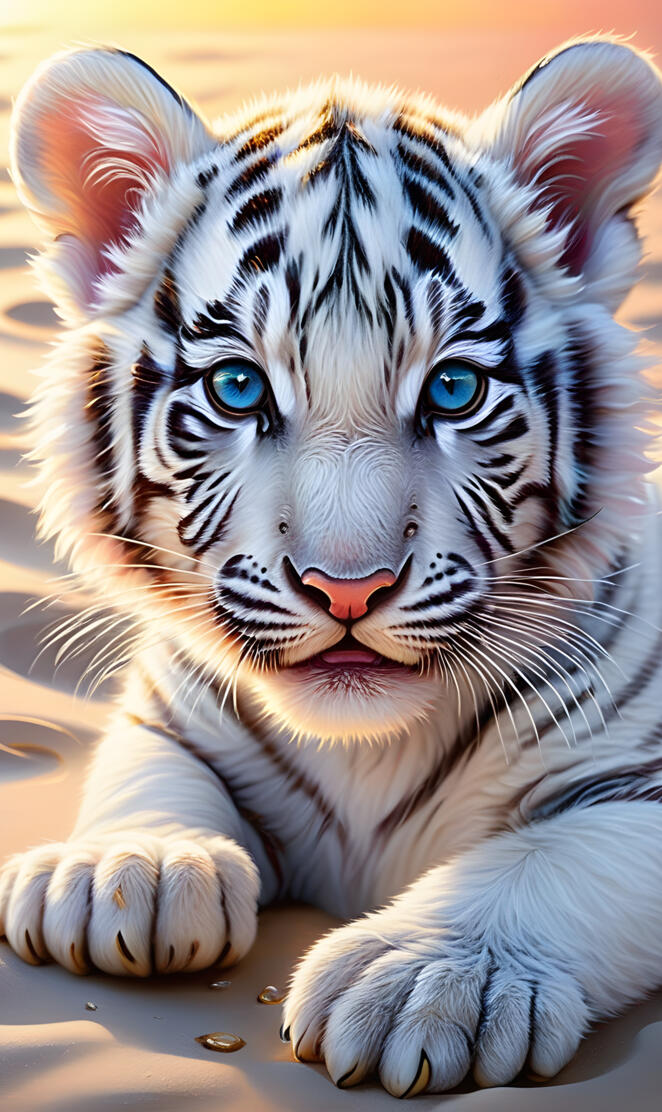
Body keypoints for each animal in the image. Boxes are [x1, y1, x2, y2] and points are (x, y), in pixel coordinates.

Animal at [1, 34, 662, 1096]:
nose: (346, 587)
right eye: (238, 388)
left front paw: (424, 977)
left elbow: (553, 862)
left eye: (453, 389)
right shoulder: (172, 706)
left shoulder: (636, 778)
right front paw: (127, 869)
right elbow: (147, 770)